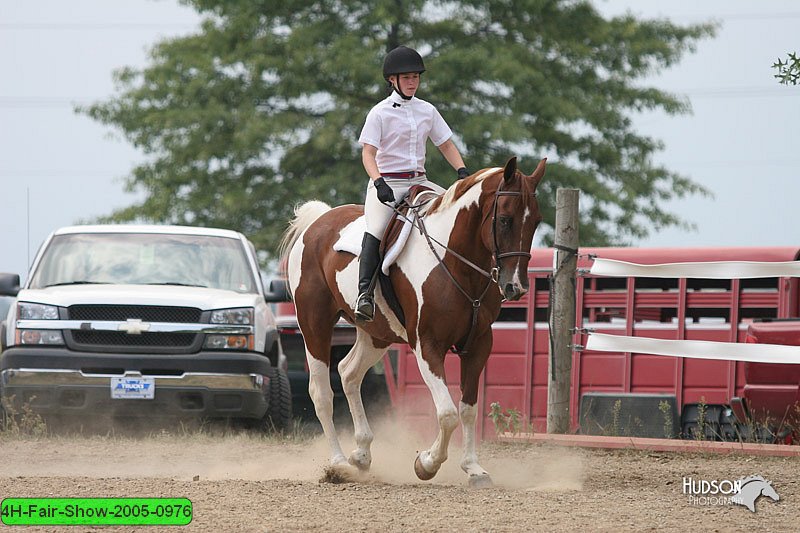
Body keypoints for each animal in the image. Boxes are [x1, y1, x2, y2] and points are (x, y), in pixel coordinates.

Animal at [278, 155, 548, 486]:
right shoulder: (427, 345)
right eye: (505, 220)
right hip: (314, 326)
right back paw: (339, 463)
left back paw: (362, 454)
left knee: (349, 373)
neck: (455, 262)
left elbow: (468, 409)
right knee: (322, 393)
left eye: (535, 222)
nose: (515, 287)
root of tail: (318, 222)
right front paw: (427, 463)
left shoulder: (479, 345)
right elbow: (447, 413)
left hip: (376, 333)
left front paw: (473, 468)